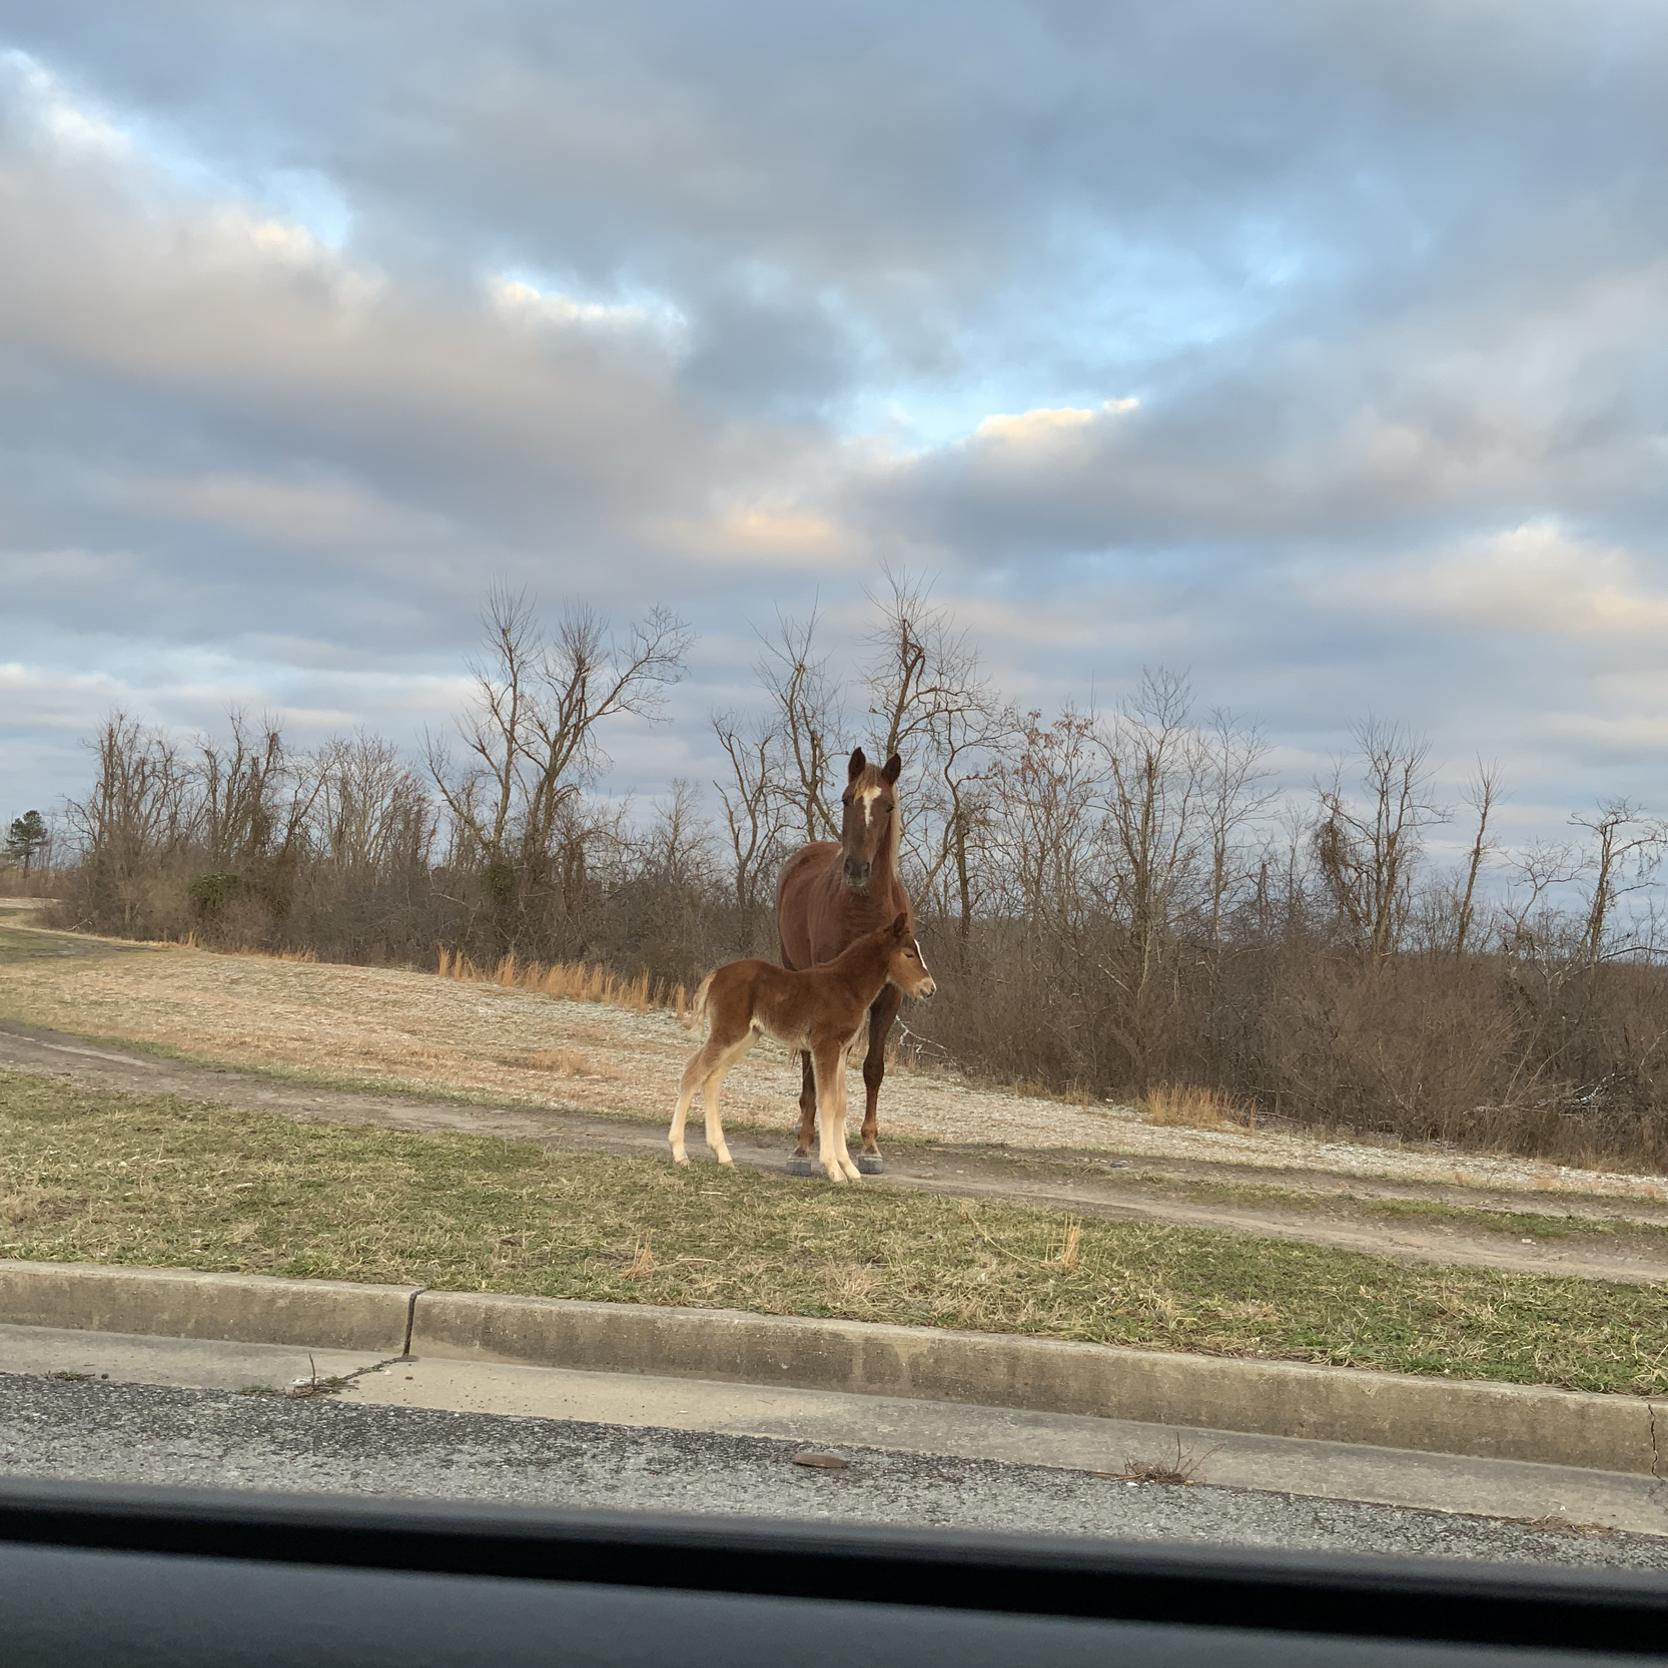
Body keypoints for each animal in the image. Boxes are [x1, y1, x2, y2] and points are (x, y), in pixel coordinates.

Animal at [667, 914, 934, 1187]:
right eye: (909, 954)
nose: (929, 988)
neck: (847, 986)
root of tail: (716, 973)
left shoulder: (841, 1050)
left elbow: (841, 1103)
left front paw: (849, 1168)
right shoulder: (824, 1045)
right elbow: (827, 1100)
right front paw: (833, 1169)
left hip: (746, 1037)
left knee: (712, 1079)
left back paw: (723, 1155)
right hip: (728, 1032)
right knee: (692, 1073)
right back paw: (680, 1153)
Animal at [777, 743, 914, 1174]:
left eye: (887, 806)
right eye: (846, 799)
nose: (856, 868)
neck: (864, 912)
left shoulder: (889, 998)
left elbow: (873, 1068)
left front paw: (870, 1147)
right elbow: (818, 1068)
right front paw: (804, 1148)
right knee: (809, 1061)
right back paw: (804, 1137)